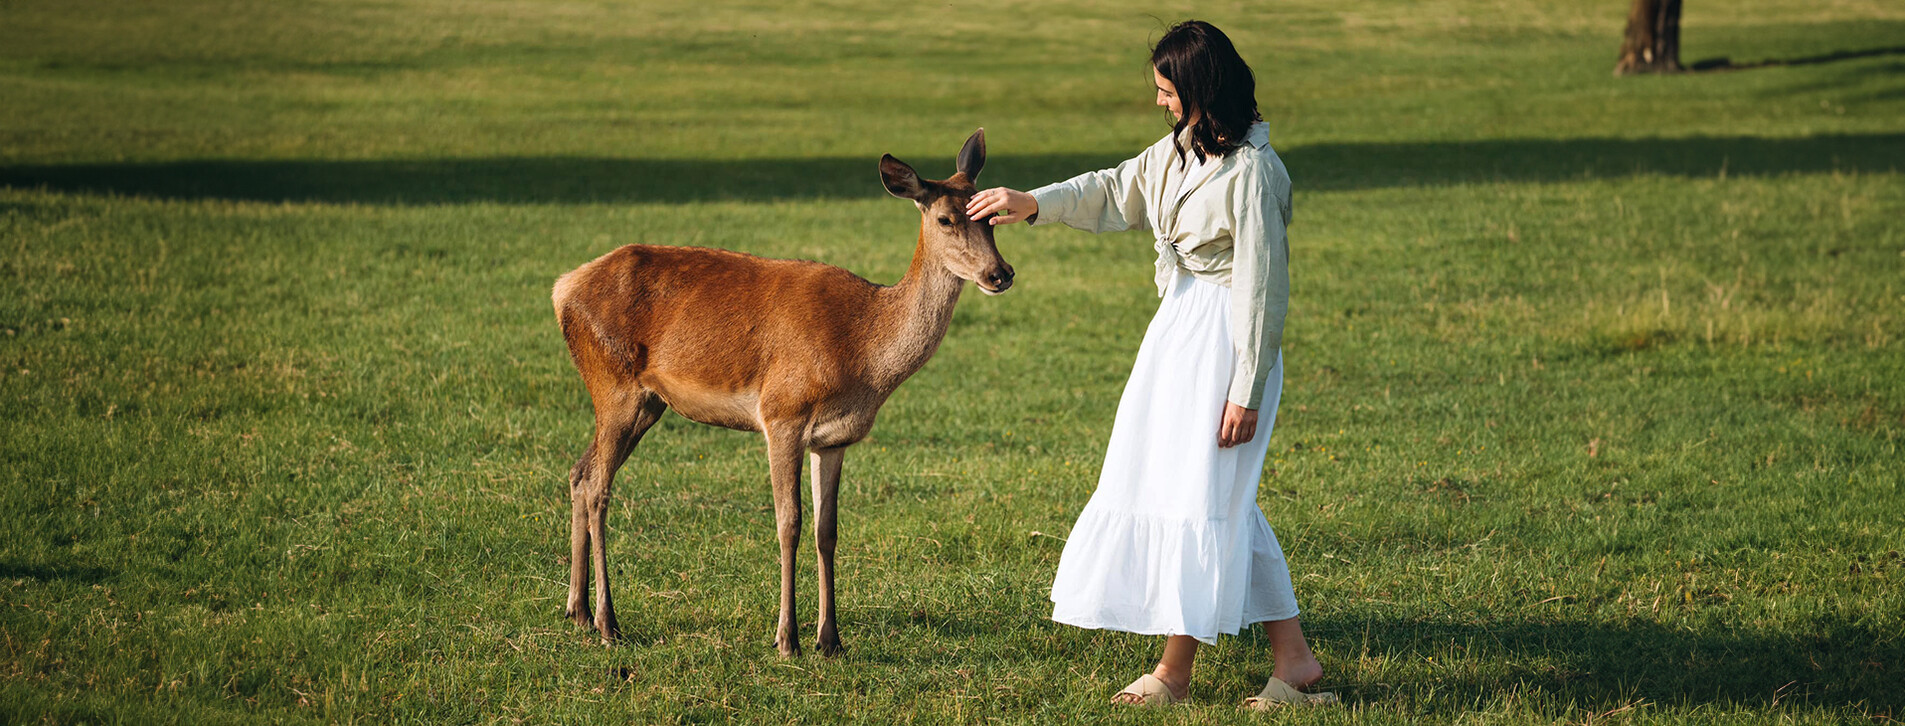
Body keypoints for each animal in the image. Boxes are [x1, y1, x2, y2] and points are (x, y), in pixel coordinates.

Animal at [548, 128, 1013, 655]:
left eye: (992, 217)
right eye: (945, 219)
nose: (1001, 273)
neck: (862, 351)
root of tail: (562, 289)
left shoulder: (834, 438)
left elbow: (827, 530)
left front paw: (830, 639)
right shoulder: (781, 412)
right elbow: (788, 524)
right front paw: (787, 638)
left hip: (645, 403)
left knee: (579, 473)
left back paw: (578, 612)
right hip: (614, 384)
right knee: (599, 486)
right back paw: (608, 622)